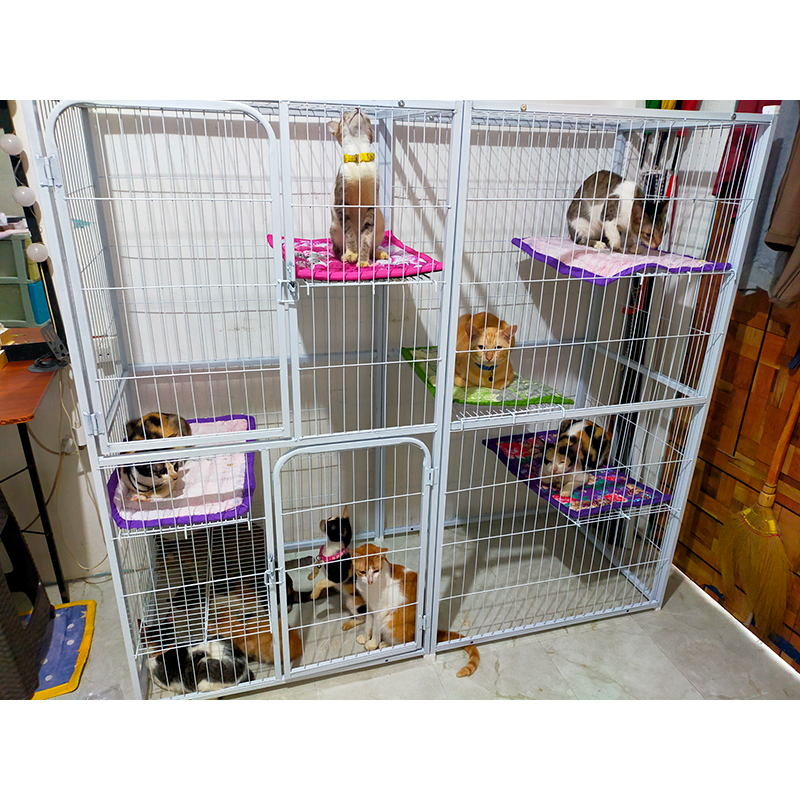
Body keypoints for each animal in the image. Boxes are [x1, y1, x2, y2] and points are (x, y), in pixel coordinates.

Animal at [327, 109, 388, 267]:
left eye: (367, 117)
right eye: (345, 115)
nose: (357, 108)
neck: (359, 154)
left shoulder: (372, 202)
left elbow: (365, 237)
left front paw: (363, 261)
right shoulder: (341, 201)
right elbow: (349, 232)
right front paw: (352, 254)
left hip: (380, 224)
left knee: (373, 247)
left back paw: (379, 253)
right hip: (334, 228)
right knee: (336, 250)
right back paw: (344, 256)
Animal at [351, 544, 480, 678]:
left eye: (376, 570)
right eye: (362, 572)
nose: (370, 581)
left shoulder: (381, 610)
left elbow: (376, 629)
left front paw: (372, 643)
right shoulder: (370, 607)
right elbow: (368, 624)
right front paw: (365, 637)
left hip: (389, 621)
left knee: (404, 641)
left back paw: (386, 644)